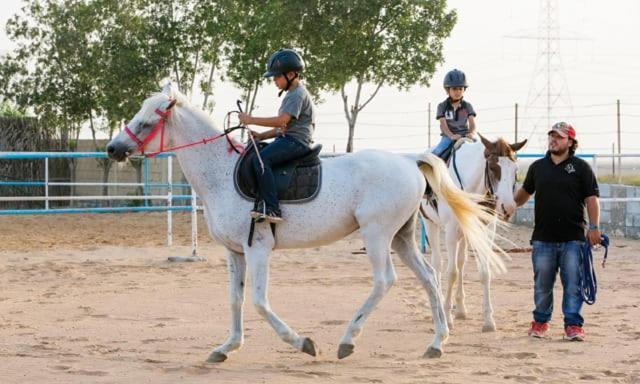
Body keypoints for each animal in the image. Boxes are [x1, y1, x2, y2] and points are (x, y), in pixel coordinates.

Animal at [106, 82, 504, 362]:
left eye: (146, 120)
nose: (113, 148)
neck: (221, 173)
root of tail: (409, 161)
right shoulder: (236, 253)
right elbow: (235, 300)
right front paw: (227, 347)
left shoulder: (258, 248)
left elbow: (259, 301)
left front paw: (303, 343)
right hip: (401, 237)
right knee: (429, 277)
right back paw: (437, 342)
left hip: (377, 235)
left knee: (384, 280)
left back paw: (348, 340)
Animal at [420, 137, 524, 332]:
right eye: (493, 167)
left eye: (515, 169)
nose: (508, 208)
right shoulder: (451, 231)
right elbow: (451, 272)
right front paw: (447, 317)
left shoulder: (487, 229)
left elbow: (484, 271)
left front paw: (488, 320)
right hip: (430, 223)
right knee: (437, 264)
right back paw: (439, 308)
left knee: (461, 263)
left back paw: (460, 309)